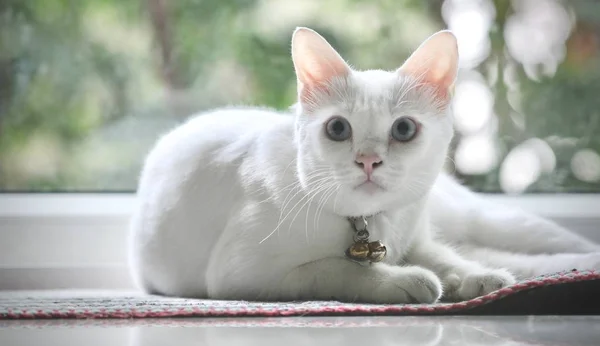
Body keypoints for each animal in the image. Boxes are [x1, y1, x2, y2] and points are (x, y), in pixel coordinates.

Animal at [127, 27, 600, 302]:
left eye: (404, 129)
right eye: (338, 129)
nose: (368, 160)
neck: (370, 223)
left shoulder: (418, 238)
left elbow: (445, 259)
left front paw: (470, 278)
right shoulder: (242, 273)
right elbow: (335, 269)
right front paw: (411, 280)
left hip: (490, 219)